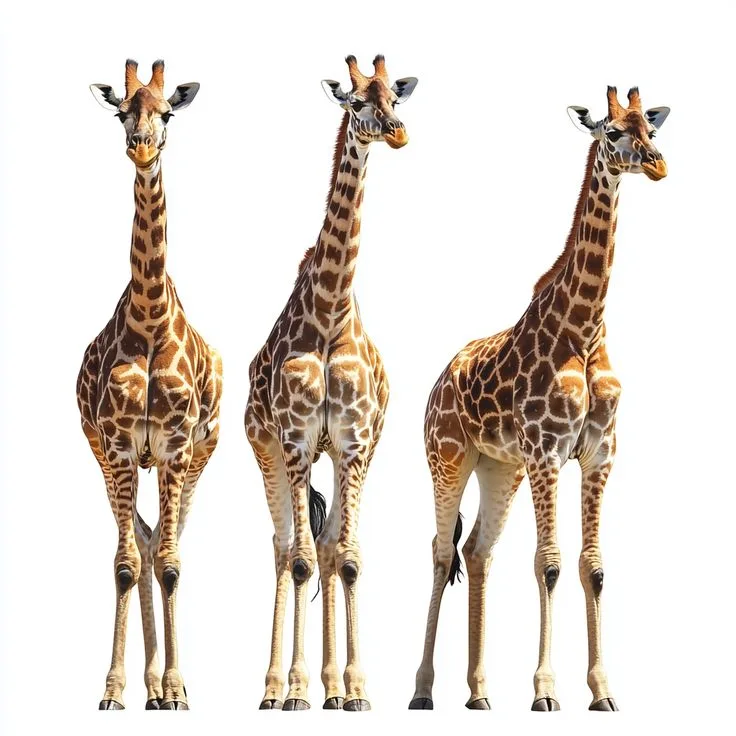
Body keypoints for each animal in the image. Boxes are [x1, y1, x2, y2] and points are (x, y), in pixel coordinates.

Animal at [245, 55, 417, 712]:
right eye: (356, 101)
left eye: (395, 96)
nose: (398, 131)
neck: (330, 309)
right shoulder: (294, 441)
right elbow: (297, 560)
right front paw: (293, 691)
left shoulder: (354, 443)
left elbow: (346, 558)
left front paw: (356, 689)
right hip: (265, 449)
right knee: (282, 549)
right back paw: (274, 688)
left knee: (320, 548)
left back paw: (333, 687)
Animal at [408, 87, 670, 711]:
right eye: (612, 133)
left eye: (650, 129)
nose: (657, 164)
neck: (586, 328)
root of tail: (438, 382)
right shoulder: (548, 452)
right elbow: (548, 564)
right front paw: (546, 691)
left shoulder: (598, 455)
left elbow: (592, 566)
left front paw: (602, 690)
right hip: (447, 458)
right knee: (440, 551)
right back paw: (423, 689)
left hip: (499, 468)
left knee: (477, 551)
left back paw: (479, 693)